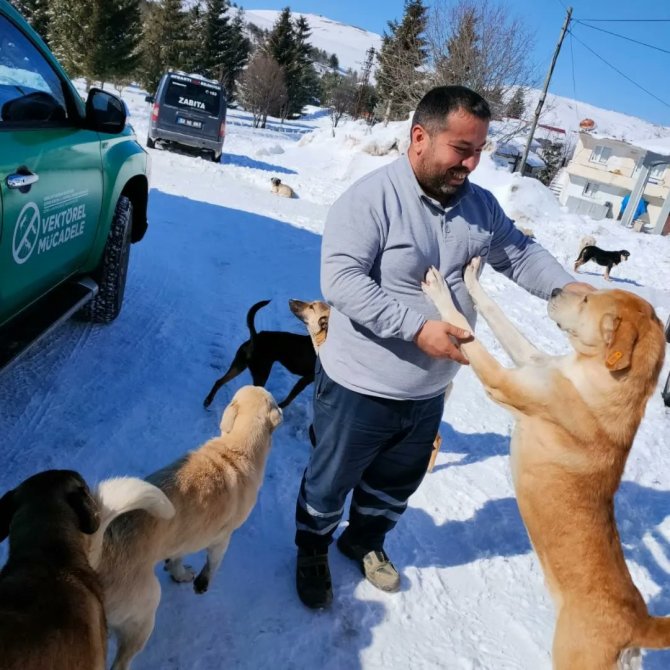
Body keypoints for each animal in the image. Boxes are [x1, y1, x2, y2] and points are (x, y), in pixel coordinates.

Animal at [98, 388, 282, 670]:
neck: (235, 449)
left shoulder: (184, 535)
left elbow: (176, 556)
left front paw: (178, 572)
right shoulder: (221, 539)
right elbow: (213, 564)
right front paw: (199, 582)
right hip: (143, 611)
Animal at [422, 258, 668, 670]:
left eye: (586, 300)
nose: (554, 291)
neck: (599, 383)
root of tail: (638, 623)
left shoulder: (502, 381)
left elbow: (463, 329)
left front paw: (440, 289)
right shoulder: (531, 362)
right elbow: (494, 313)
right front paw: (472, 277)